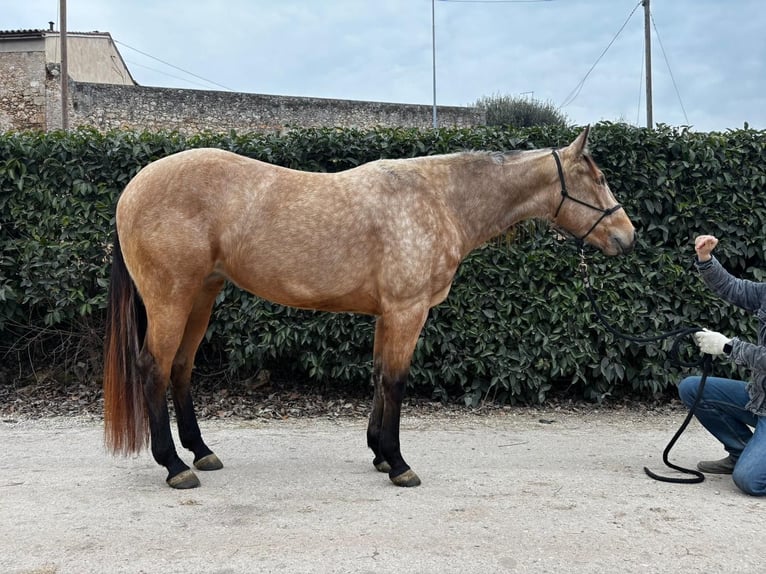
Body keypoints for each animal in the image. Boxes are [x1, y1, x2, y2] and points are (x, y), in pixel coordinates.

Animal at [103, 126, 636, 489]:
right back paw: (175, 466)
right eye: (598, 178)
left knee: (181, 368)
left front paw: (379, 454)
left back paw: (201, 452)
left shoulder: (388, 315)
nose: (627, 236)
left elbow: (379, 376)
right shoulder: (407, 311)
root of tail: (131, 189)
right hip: (172, 298)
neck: (439, 199)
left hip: (201, 296)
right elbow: (396, 381)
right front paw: (399, 464)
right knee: (154, 368)